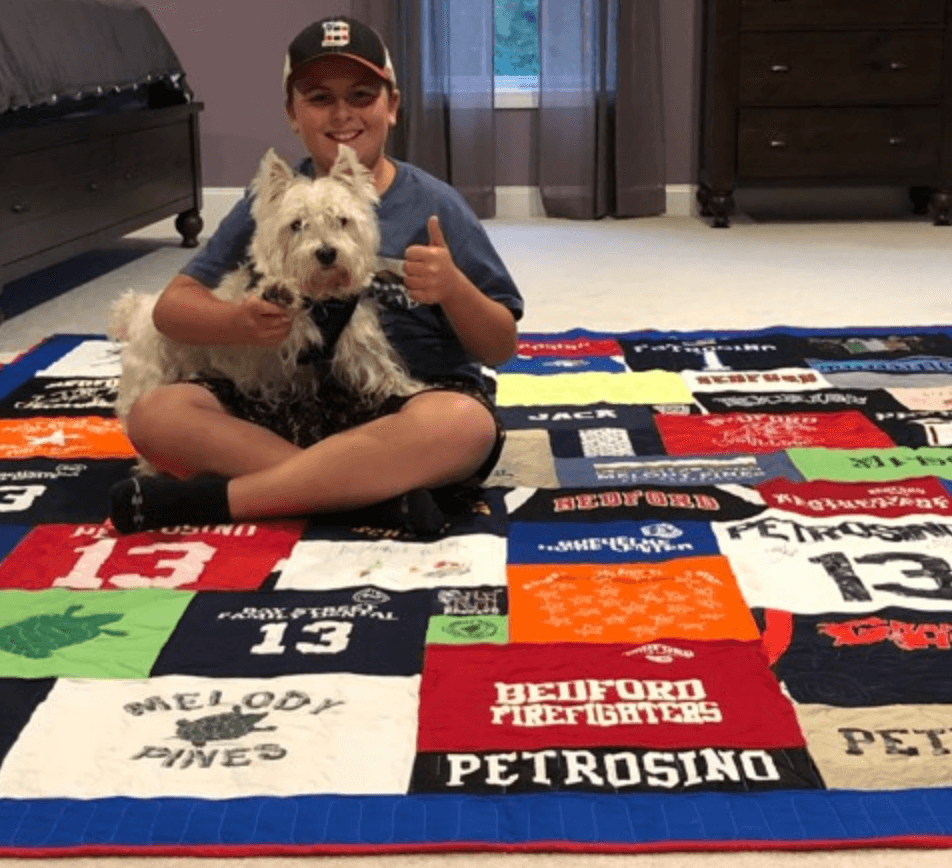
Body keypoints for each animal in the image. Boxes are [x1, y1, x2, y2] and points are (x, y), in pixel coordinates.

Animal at [107, 144, 420, 468]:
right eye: (297, 225)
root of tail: (139, 308)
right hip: (151, 375)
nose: (326, 253)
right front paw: (278, 291)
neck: (320, 299)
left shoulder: (357, 340)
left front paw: (412, 388)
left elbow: (381, 370)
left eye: (342, 220)